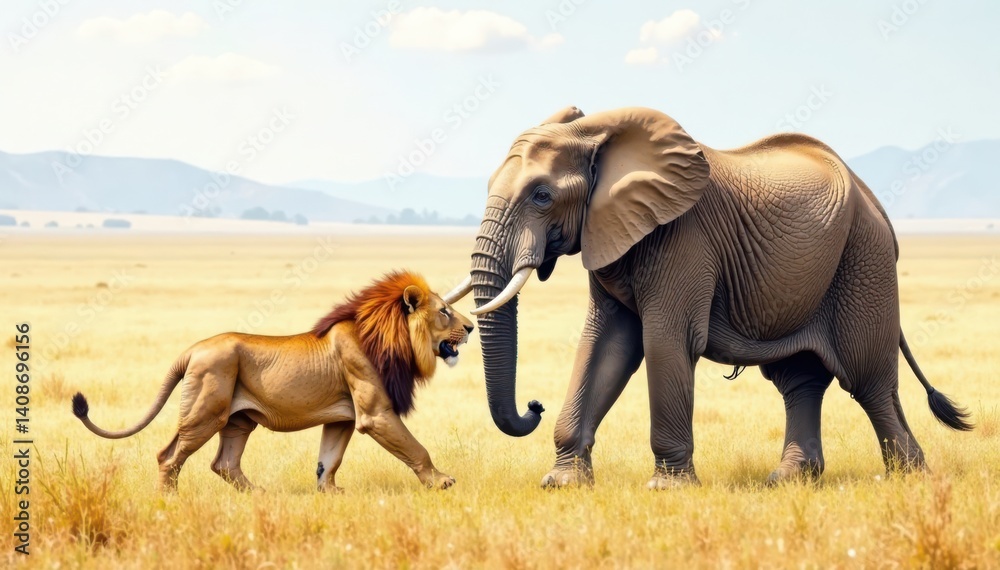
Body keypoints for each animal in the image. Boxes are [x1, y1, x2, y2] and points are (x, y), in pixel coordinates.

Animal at [71, 271, 474, 492]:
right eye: (444, 311)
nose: (470, 327)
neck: (391, 338)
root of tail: (192, 350)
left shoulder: (342, 418)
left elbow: (328, 460)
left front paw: (330, 493)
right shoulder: (375, 414)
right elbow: (416, 448)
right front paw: (441, 482)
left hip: (238, 420)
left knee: (224, 463)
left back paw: (261, 495)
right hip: (206, 412)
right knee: (169, 456)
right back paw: (167, 502)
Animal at [444, 106, 973, 489]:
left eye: (541, 196)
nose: (533, 405)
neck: (597, 132)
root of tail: (876, 203)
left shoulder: (683, 235)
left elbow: (663, 342)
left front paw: (668, 489)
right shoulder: (611, 233)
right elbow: (605, 344)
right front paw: (562, 485)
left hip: (863, 259)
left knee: (869, 381)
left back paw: (910, 478)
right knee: (799, 380)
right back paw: (787, 481)